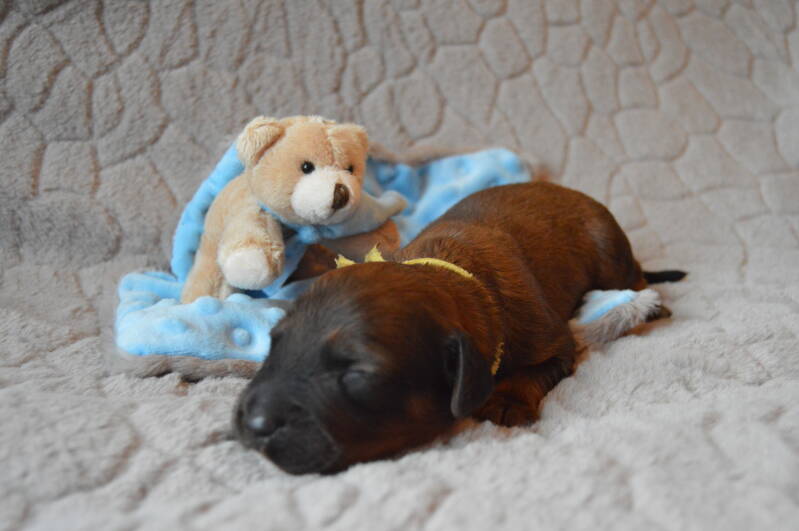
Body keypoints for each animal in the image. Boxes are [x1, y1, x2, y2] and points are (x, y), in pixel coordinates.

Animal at [233, 182, 685, 474]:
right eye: (274, 343)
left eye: (359, 374)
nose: (252, 423)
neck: (454, 275)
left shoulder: (554, 339)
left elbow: (541, 366)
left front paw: (505, 401)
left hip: (610, 255)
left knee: (635, 277)